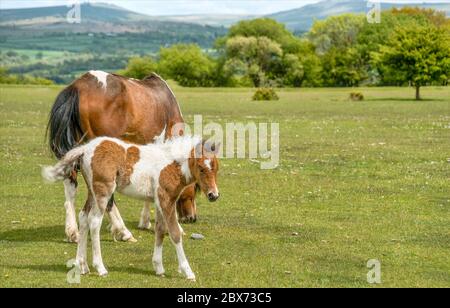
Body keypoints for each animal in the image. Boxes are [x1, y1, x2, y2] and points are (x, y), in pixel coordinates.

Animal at [42, 136, 220, 280]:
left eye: (216, 169)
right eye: (201, 168)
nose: (214, 195)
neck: (171, 164)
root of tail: (85, 149)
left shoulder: (159, 201)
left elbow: (160, 230)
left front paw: (158, 268)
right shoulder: (166, 199)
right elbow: (175, 233)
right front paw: (187, 271)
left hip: (92, 192)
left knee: (84, 218)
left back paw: (82, 265)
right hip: (103, 192)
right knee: (94, 222)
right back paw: (100, 268)